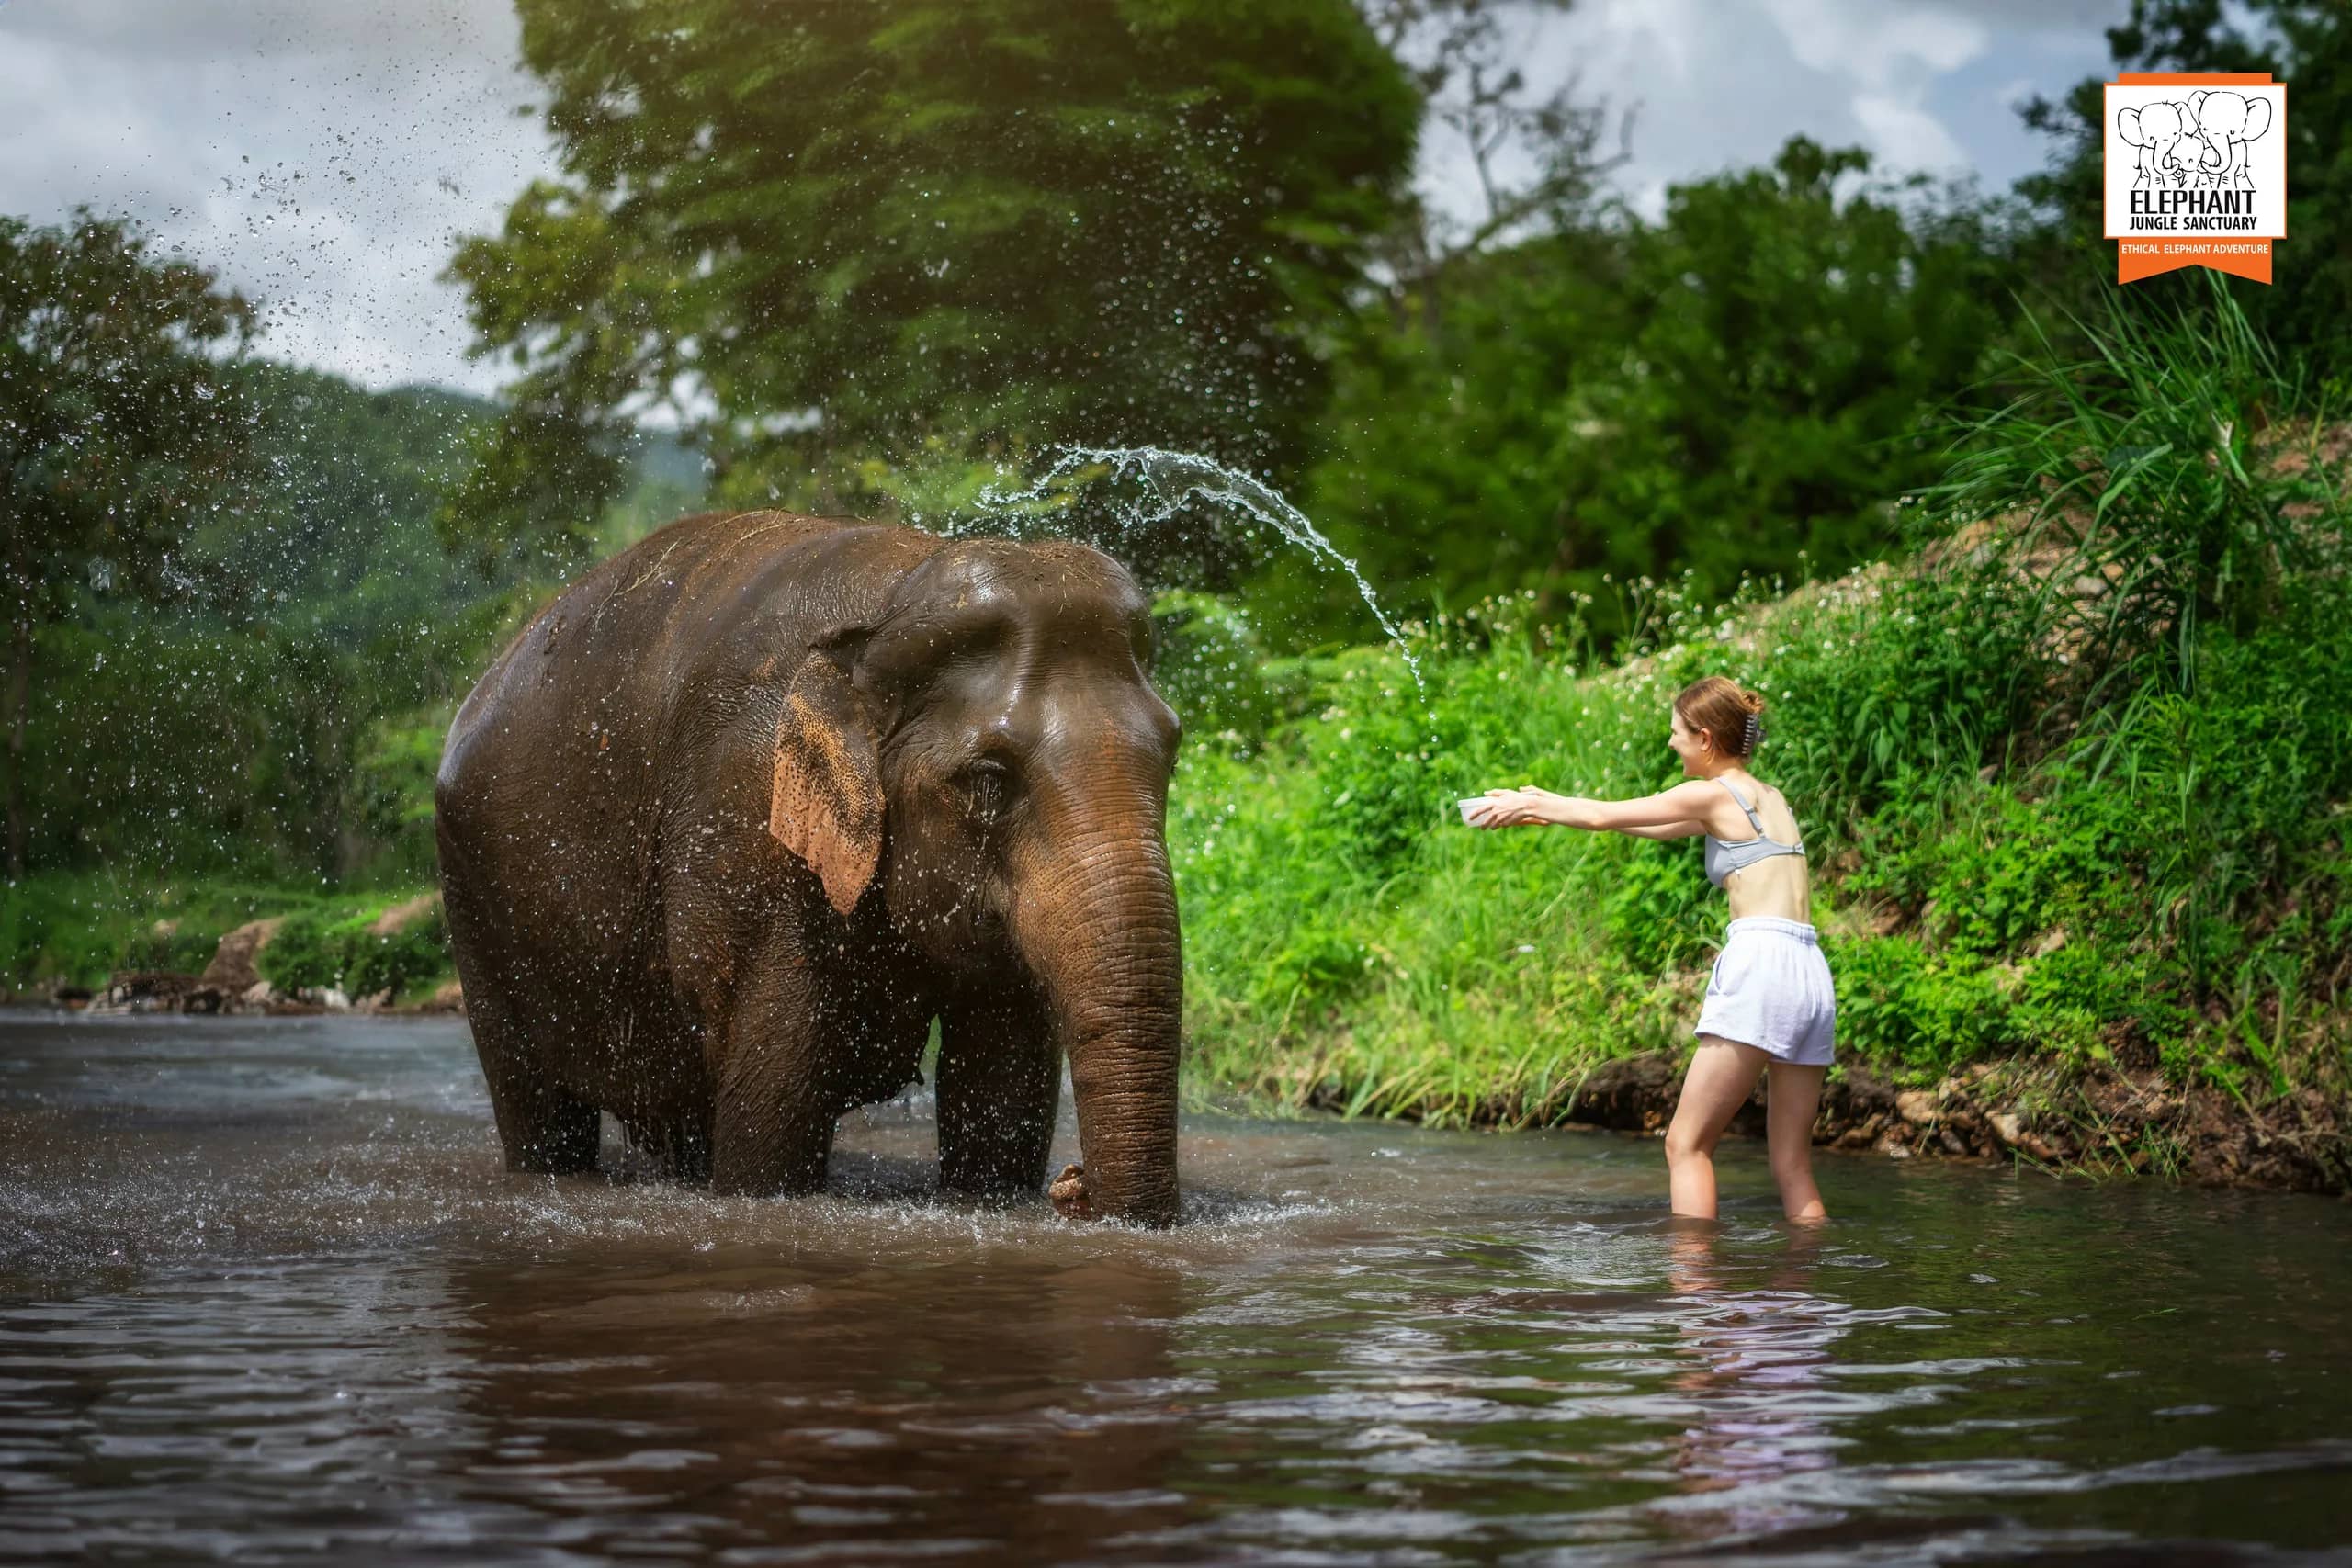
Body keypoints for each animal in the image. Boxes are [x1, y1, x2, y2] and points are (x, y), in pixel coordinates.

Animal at [434, 511, 1185, 1225]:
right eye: (988, 780)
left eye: (1171, 754)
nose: (1074, 1186)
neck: (896, 595)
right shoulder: (747, 842)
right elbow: (772, 1127)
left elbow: (1003, 1097)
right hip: (472, 902)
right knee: (537, 1108)